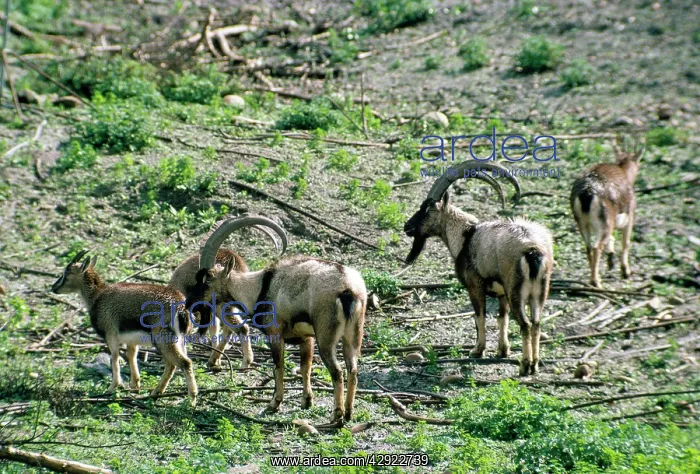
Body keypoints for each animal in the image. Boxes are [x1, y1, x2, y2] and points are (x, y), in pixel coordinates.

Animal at [51, 250, 198, 405]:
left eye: (66, 273)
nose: (54, 288)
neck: (98, 297)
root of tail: (181, 307)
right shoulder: (131, 340)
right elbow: (131, 356)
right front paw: (134, 385)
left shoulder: (110, 334)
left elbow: (114, 358)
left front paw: (112, 388)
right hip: (180, 339)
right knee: (173, 365)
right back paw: (156, 392)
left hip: (163, 339)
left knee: (183, 363)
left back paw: (191, 399)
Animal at [190, 217, 367, 424]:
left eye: (208, 278)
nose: (191, 301)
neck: (261, 286)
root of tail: (348, 290)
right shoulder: (306, 338)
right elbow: (305, 367)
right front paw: (306, 401)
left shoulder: (275, 334)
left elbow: (278, 366)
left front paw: (274, 404)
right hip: (353, 336)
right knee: (353, 369)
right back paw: (348, 412)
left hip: (326, 337)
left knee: (337, 371)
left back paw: (337, 415)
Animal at [404, 161, 553, 375]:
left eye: (427, 209)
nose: (407, 227)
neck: (465, 236)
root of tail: (533, 252)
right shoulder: (501, 293)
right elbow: (502, 318)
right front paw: (503, 350)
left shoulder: (475, 286)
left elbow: (479, 317)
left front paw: (477, 350)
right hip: (539, 293)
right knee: (536, 323)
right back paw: (535, 365)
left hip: (516, 291)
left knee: (525, 324)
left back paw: (525, 366)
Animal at [570, 140, 645, 287]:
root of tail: (586, 194)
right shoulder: (630, 214)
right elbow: (626, 242)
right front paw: (626, 272)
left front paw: (611, 261)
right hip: (606, 221)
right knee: (596, 247)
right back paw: (596, 281)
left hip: (582, 222)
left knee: (588, 247)